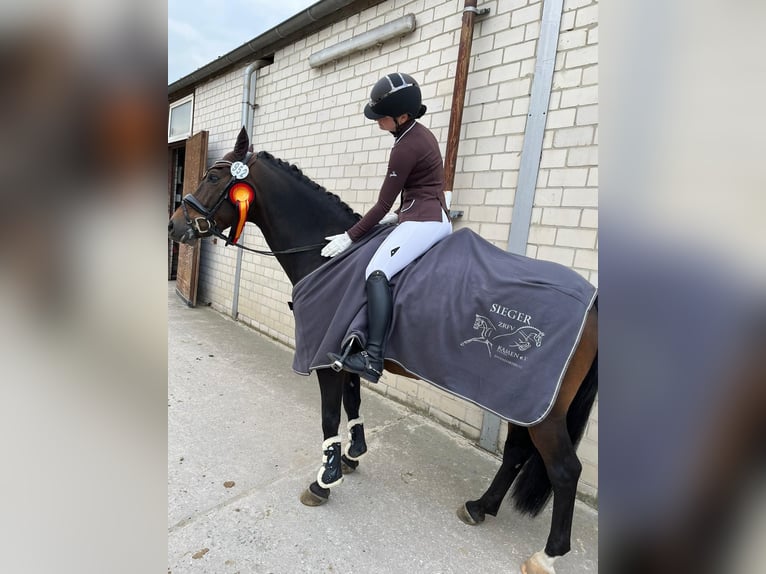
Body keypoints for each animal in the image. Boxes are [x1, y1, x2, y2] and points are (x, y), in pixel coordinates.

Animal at [168, 129, 600, 574]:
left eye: (214, 176)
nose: (175, 226)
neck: (327, 254)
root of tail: (592, 302)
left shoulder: (324, 358)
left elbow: (329, 416)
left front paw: (325, 479)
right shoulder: (344, 354)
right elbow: (353, 401)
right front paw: (353, 455)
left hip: (542, 412)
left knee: (565, 470)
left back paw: (547, 554)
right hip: (520, 403)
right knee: (515, 452)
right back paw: (480, 507)